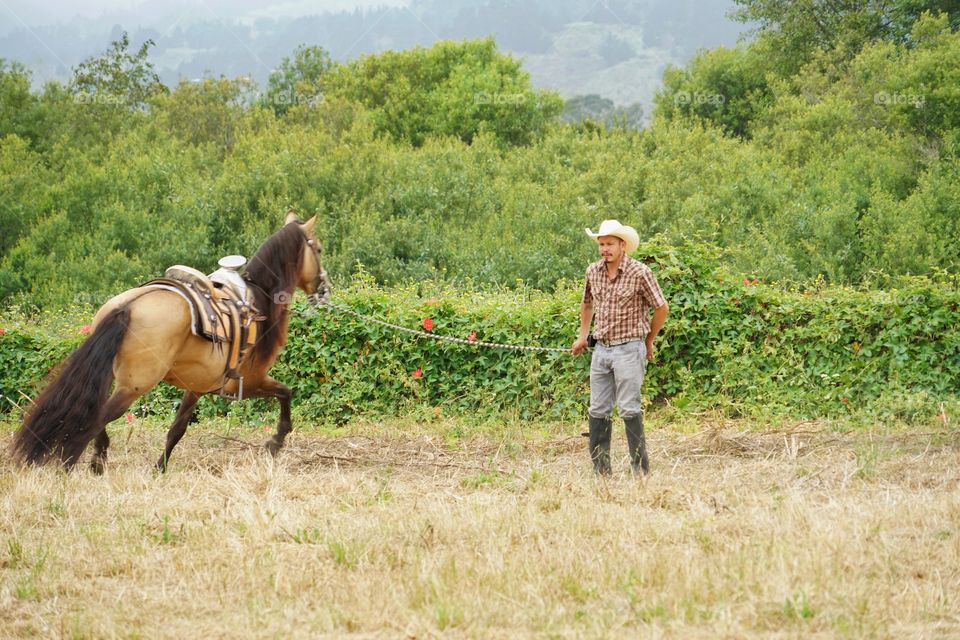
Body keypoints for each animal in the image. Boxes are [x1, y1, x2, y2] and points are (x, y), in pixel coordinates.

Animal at [10, 212, 330, 472]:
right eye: (318, 249)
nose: (324, 290)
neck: (258, 300)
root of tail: (130, 306)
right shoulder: (249, 380)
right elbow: (286, 392)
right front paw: (276, 441)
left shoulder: (197, 386)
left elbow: (177, 428)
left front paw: (160, 468)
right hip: (135, 386)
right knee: (97, 417)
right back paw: (73, 463)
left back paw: (97, 460)